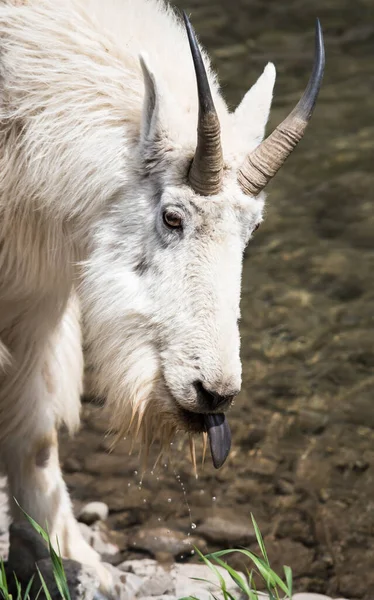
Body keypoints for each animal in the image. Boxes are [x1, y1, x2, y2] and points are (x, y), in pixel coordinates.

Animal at [0, 0, 324, 592]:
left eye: (253, 228)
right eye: (172, 217)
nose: (213, 393)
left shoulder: (34, 303)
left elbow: (36, 438)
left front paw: (71, 558)